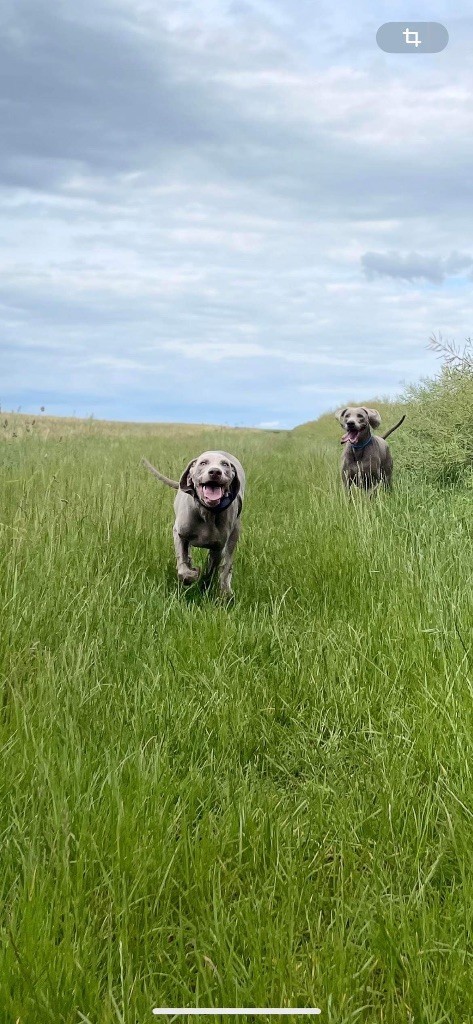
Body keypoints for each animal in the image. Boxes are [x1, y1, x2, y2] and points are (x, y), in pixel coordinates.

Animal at [142, 451, 245, 598]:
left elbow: (210, 571)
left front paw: (204, 590)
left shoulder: (218, 546)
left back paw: (226, 591)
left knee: (227, 565)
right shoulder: (179, 534)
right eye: (203, 463)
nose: (215, 472)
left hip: (234, 535)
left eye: (225, 464)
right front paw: (190, 574)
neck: (207, 512)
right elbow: (183, 563)